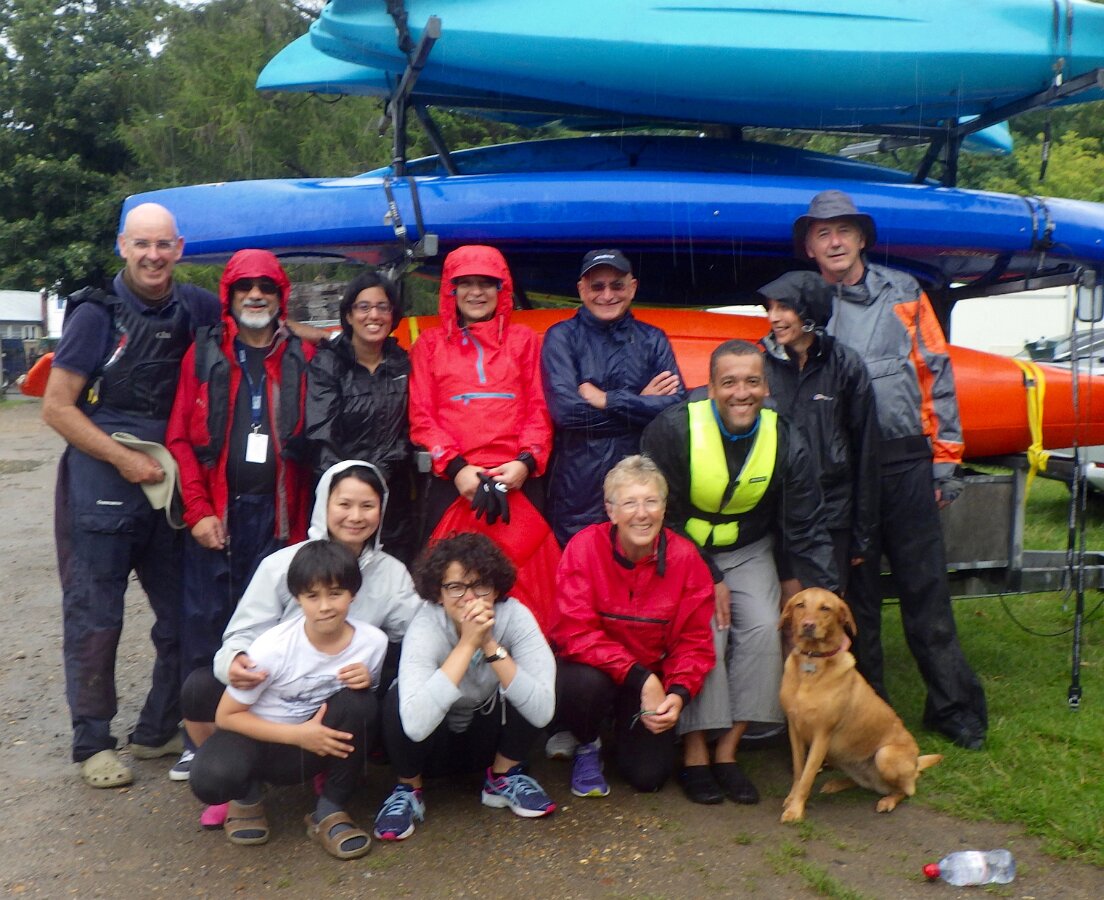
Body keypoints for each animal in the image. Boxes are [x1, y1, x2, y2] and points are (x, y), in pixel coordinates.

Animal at [777, 588, 942, 824]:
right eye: (800, 605)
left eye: (825, 608)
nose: (808, 625)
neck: (812, 664)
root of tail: (916, 763)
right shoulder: (795, 730)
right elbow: (800, 771)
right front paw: (792, 799)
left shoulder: (822, 735)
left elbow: (808, 775)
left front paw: (796, 809)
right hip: (841, 757)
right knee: (863, 781)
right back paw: (837, 783)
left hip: (885, 755)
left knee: (907, 789)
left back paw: (888, 800)